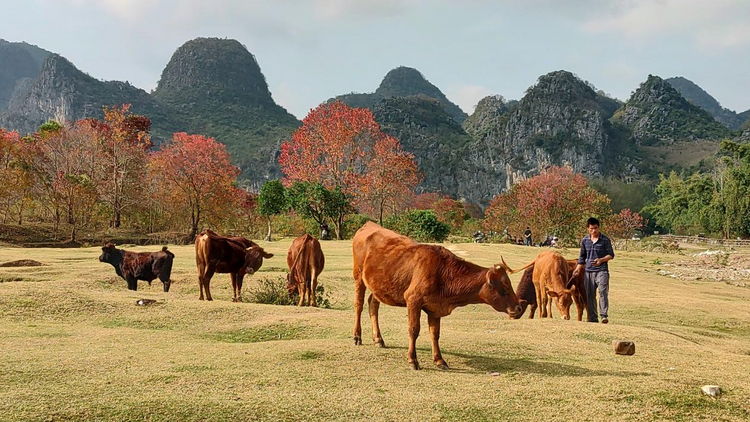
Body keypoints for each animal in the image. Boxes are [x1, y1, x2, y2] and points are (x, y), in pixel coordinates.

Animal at [352, 223, 524, 370]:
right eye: (505, 288)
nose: (519, 308)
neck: (443, 272)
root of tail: (368, 225)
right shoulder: (413, 300)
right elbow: (414, 330)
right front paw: (412, 360)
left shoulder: (435, 307)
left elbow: (435, 334)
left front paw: (439, 360)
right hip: (358, 277)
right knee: (359, 305)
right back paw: (357, 336)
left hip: (378, 286)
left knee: (373, 304)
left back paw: (378, 339)